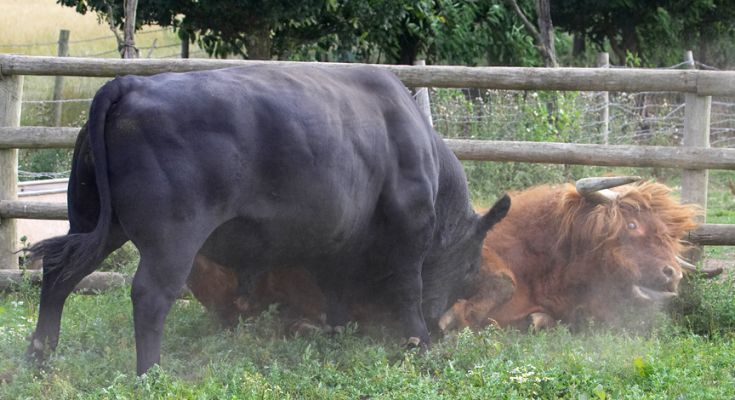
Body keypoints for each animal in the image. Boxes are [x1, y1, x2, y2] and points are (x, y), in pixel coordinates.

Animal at [27, 64, 510, 375]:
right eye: (471, 264)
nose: (441, 327)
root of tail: (129, 84)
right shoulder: (410, 229)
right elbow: (409, 287)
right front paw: (418, 343)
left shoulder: (337, 237)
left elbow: (335, 289)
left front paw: (336, 333)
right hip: (171, 239)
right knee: (149, 295)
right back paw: (150, 371)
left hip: (95, 223)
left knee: (59, 273)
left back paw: (41, 354)